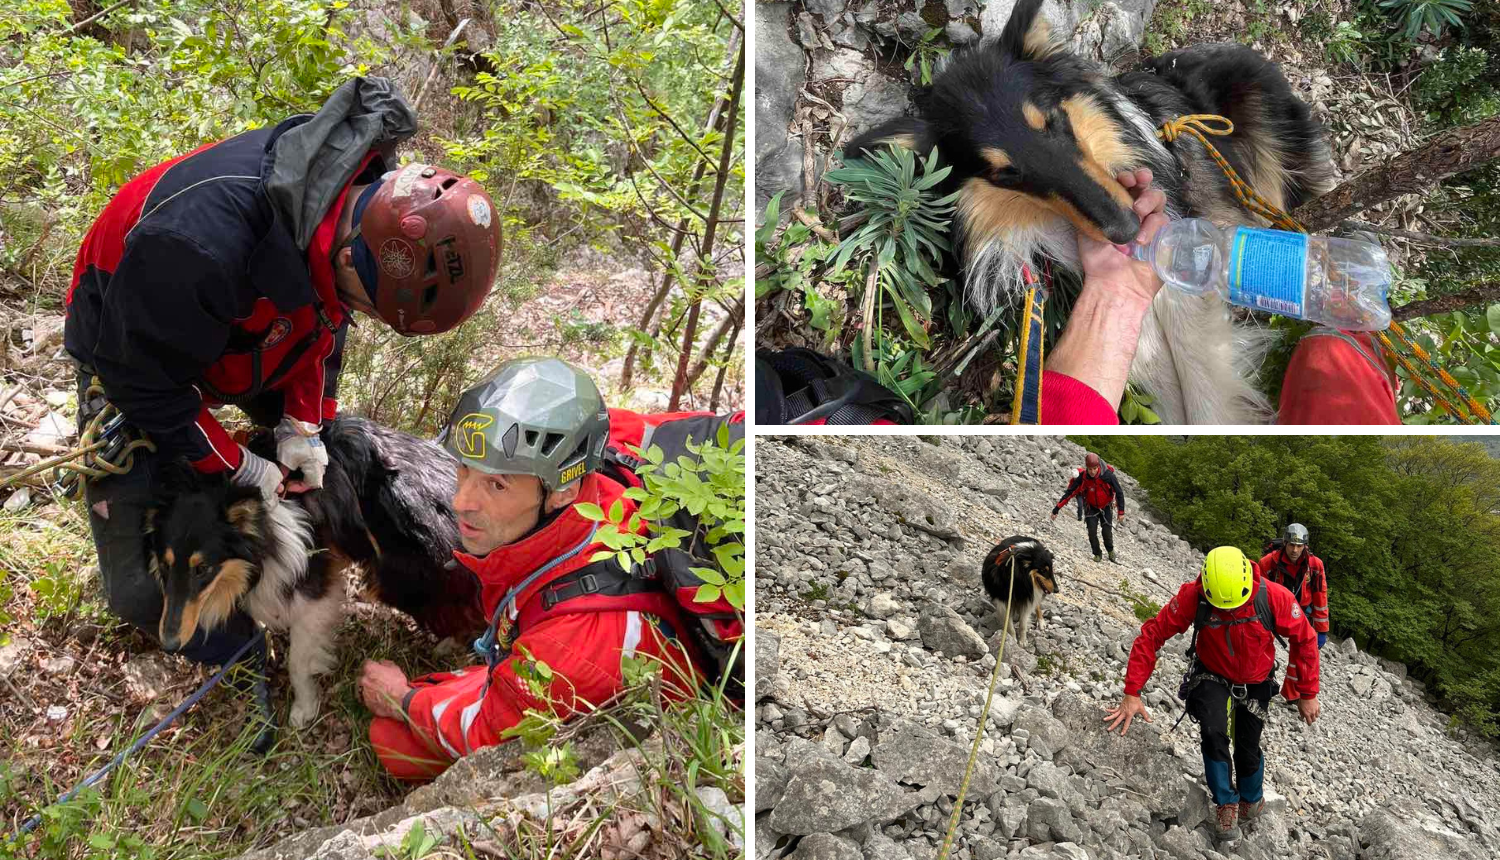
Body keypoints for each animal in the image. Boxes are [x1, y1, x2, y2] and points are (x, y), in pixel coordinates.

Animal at [146, 417, 474, 723]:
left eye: (202, 569)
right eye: (164, 564)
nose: (169, 644)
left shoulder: (313, 592)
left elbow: (299, 661)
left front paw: (304, 707)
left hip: (399, 576)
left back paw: (452, 645)